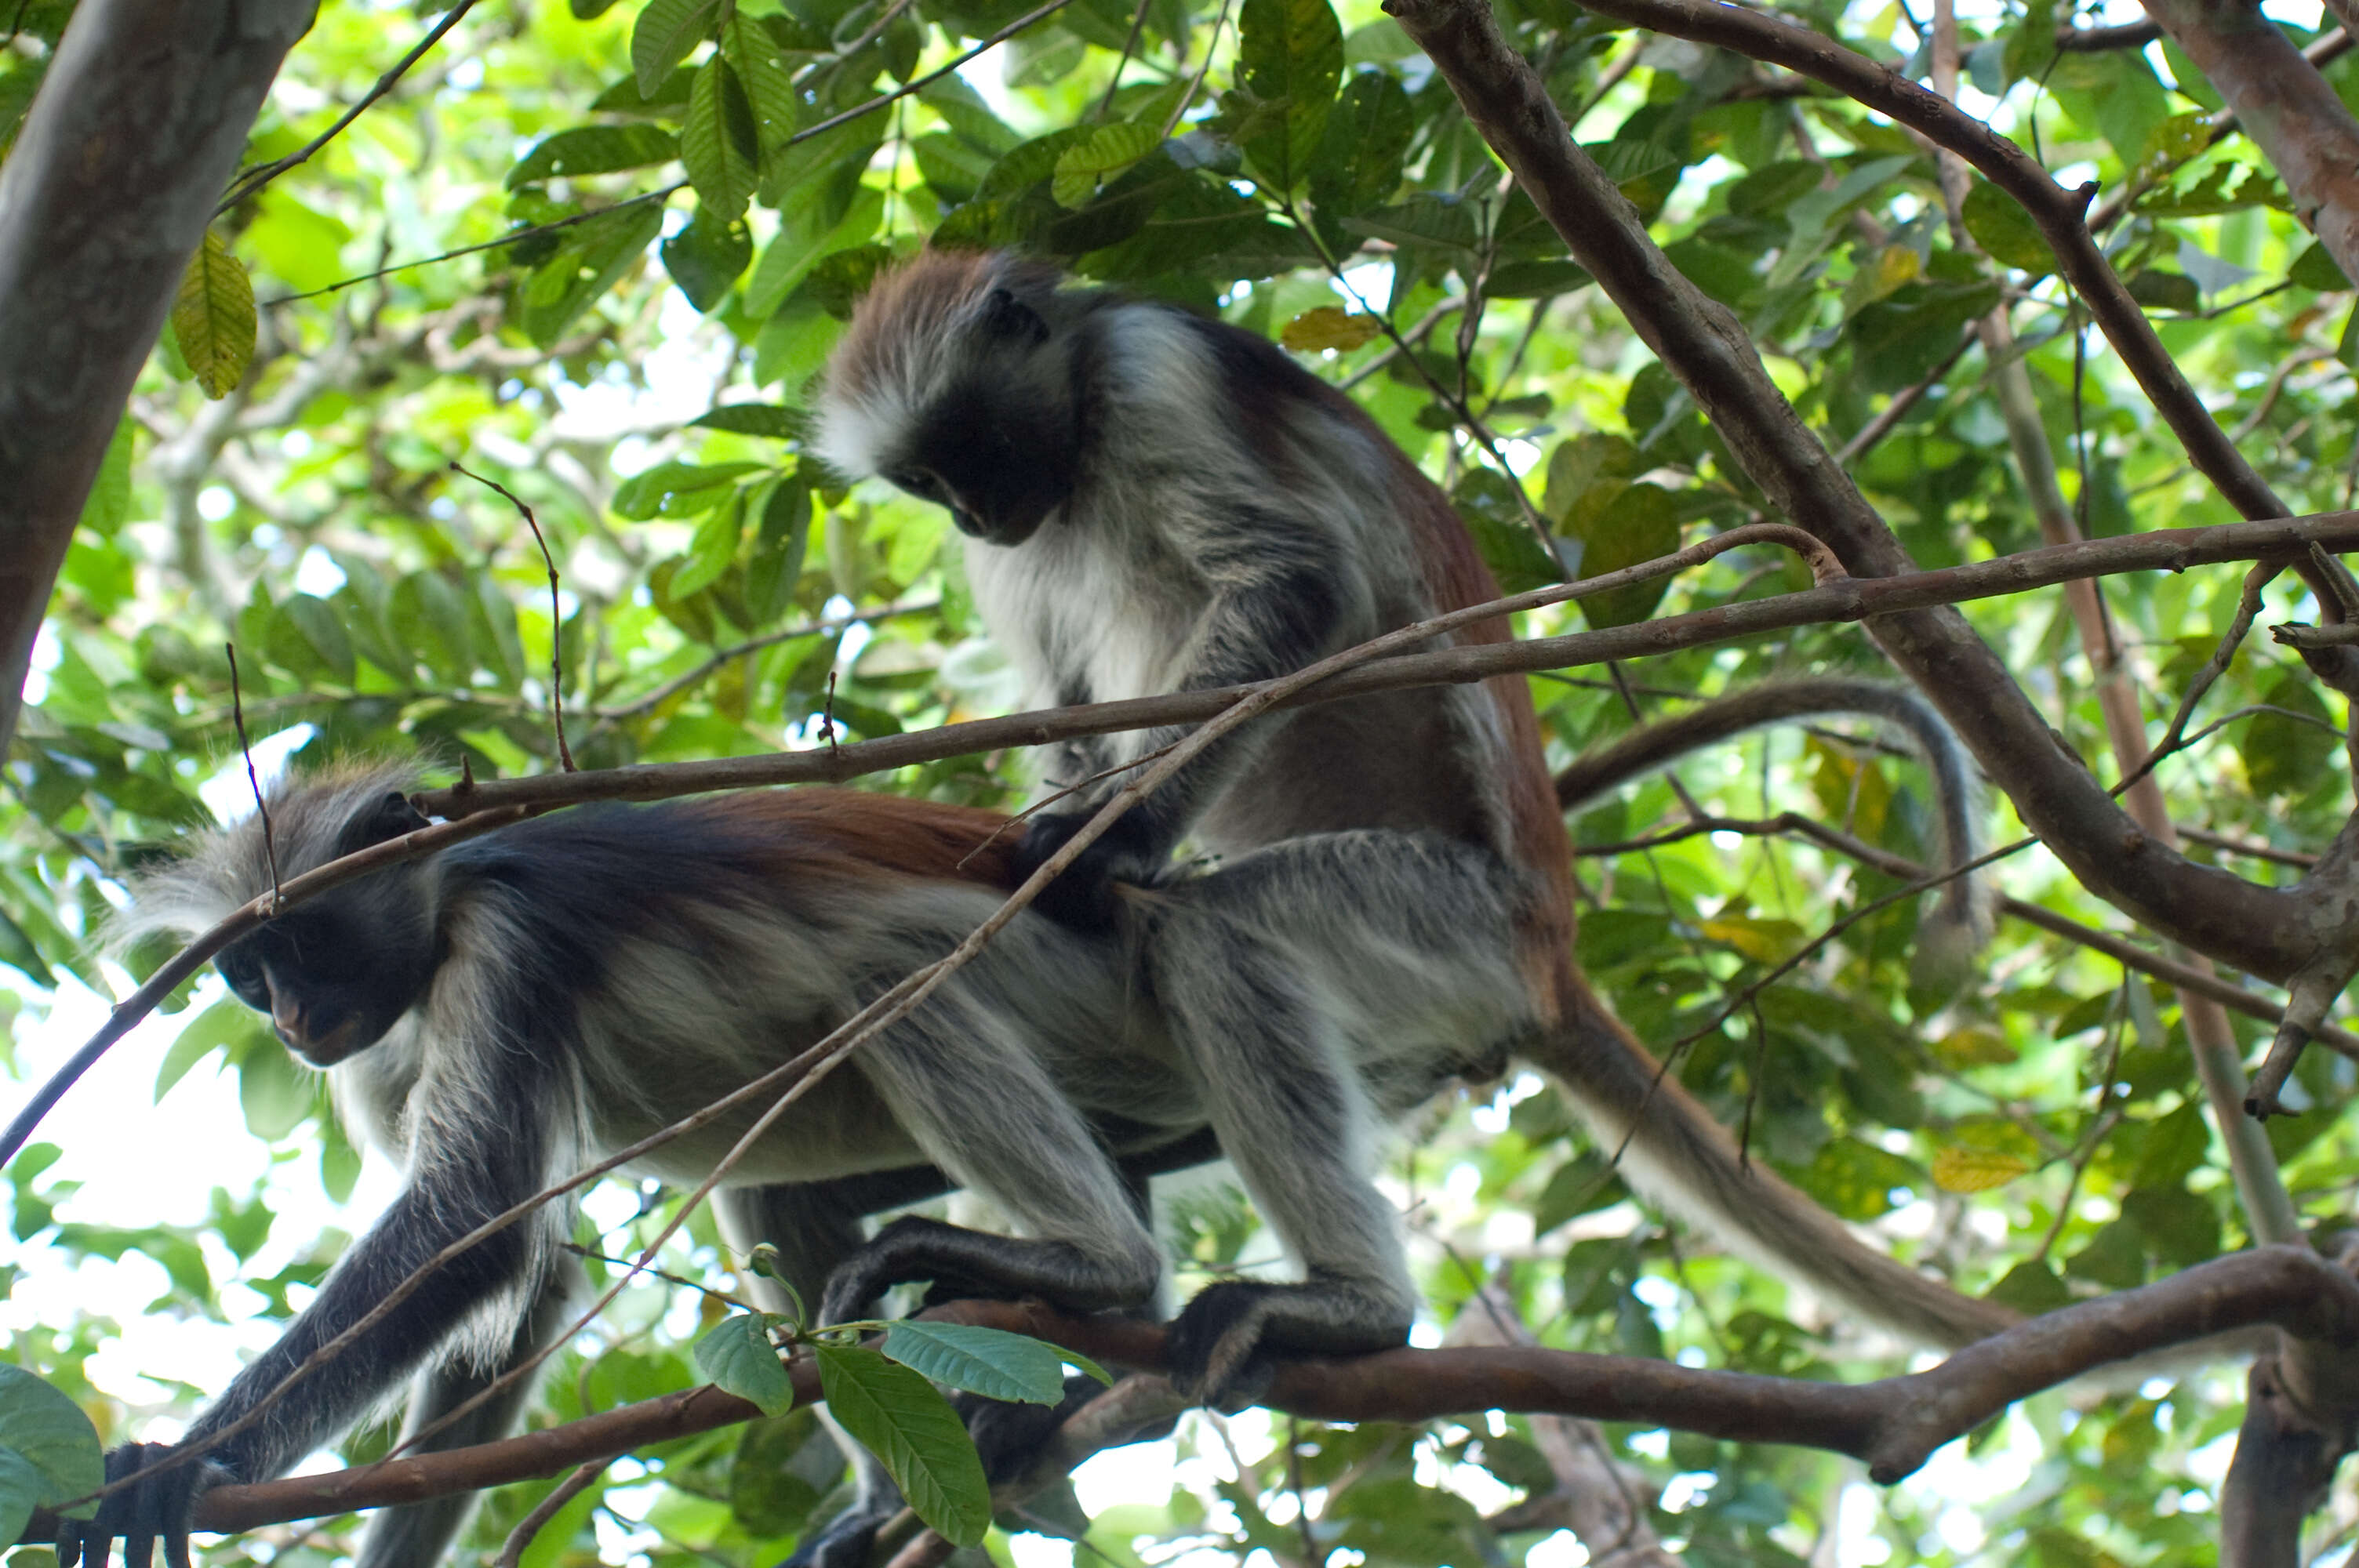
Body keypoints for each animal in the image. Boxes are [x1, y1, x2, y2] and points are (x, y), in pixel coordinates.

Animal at [816, 245, 2009, 1348]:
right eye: (925, 484)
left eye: (966, 451)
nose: (972, 519)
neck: (1078, 421)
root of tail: (1550, 948)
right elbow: (1067, 703)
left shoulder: (1157, 370)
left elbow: (1294, 581)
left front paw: (1105, 847)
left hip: (1443, 914)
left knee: (1219, 932)